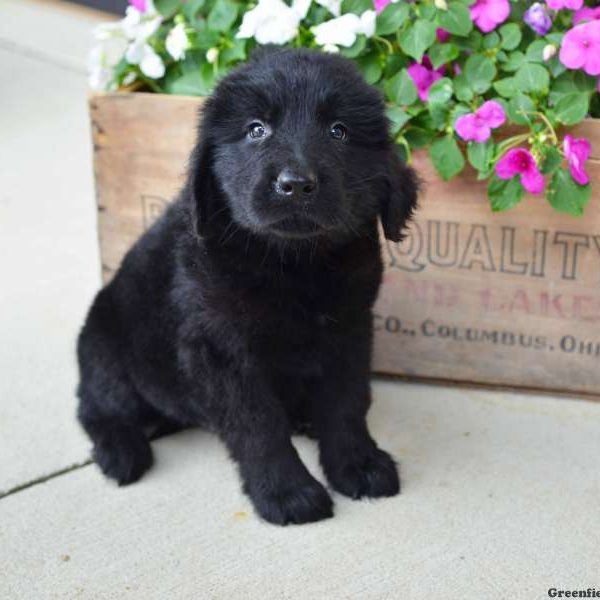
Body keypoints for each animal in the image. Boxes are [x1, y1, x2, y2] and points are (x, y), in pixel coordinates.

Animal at [77, 48, 418, 524]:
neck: (292, 264)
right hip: (103, 343)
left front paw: (358, 463)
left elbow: (347, 402)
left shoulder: (350, 329)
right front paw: (286, 491)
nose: (295, 184)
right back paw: (120, 452)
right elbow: (258, 424)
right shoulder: (220, 349)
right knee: (97, 407)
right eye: (256, 129)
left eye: (339, 131)